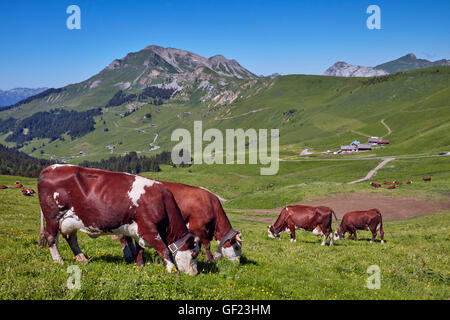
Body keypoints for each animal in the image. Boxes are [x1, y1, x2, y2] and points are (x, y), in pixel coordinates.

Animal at [37, 165, 200, 276]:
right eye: (194, 254)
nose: (195, 273)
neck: (162, 201)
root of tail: (50, 168)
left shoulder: (138, 230)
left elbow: (140, 249)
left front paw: (139, 266)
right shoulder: (148, 230)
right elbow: (164, 250)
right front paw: (172, 270)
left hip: (70, 220)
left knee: (70, 238)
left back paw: (82, 258)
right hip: (53, 216)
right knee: (51, 237)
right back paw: (58, 260)